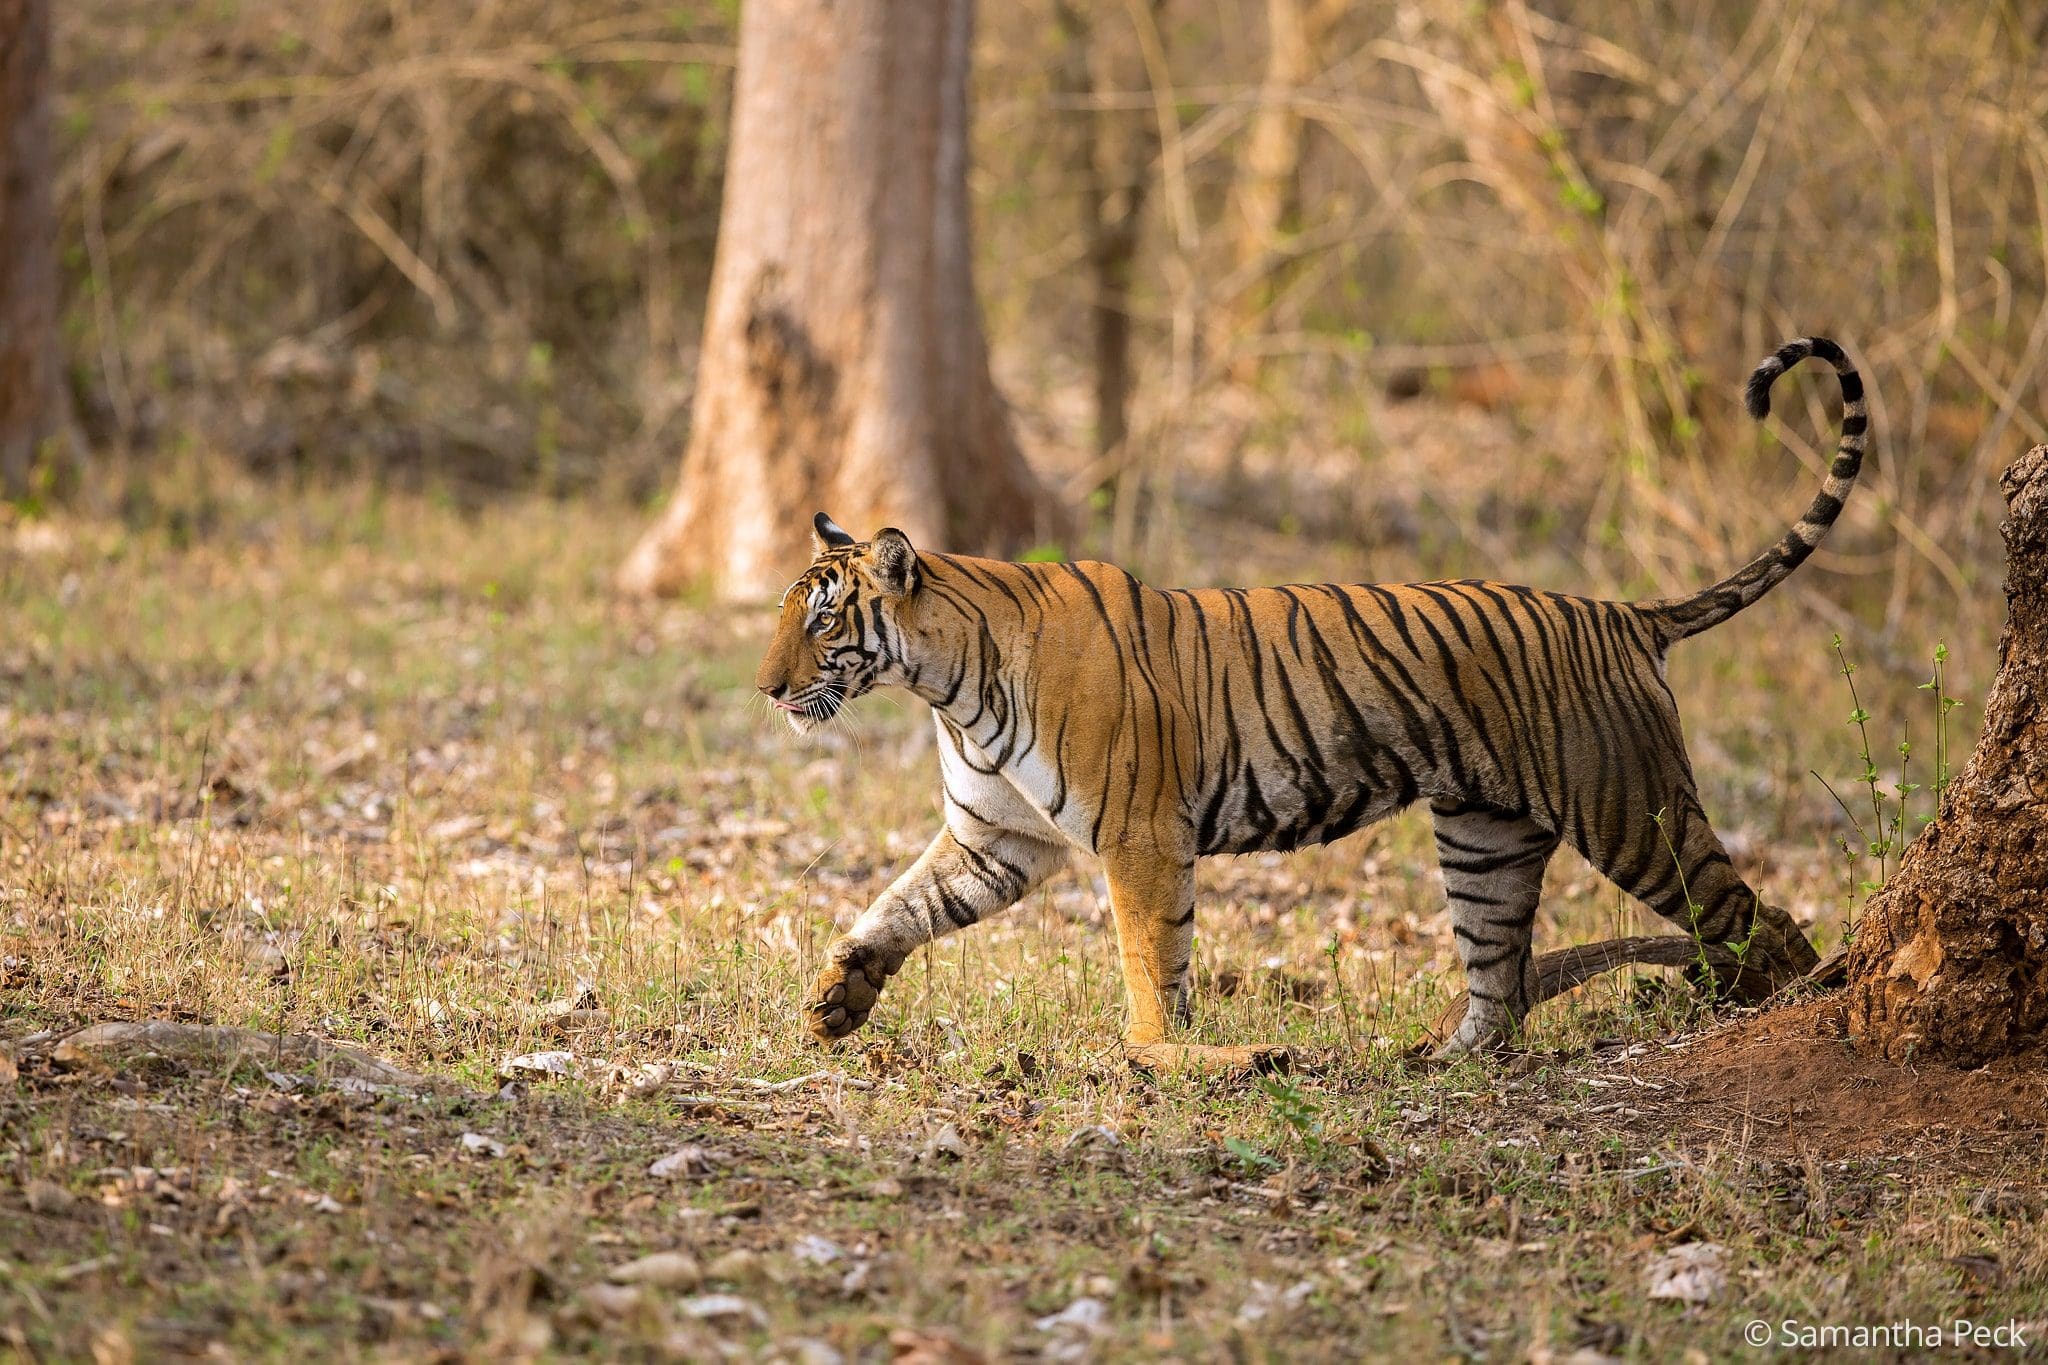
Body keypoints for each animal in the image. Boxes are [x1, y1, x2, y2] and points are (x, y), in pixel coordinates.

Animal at [757, 335, 1859, 1072]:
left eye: (821, 621)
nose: (766, 688)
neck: (945, 687)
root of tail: (1625, 613)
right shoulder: (998, 838)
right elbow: (896, 906)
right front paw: (836, 996)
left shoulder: (1140, 836)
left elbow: (1150, 956)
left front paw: (1161, 1057)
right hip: (1485, 837)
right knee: (1498, 977)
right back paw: (1444, 1060)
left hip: (1630, 807)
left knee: (1757, 917)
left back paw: (1777, 1019)